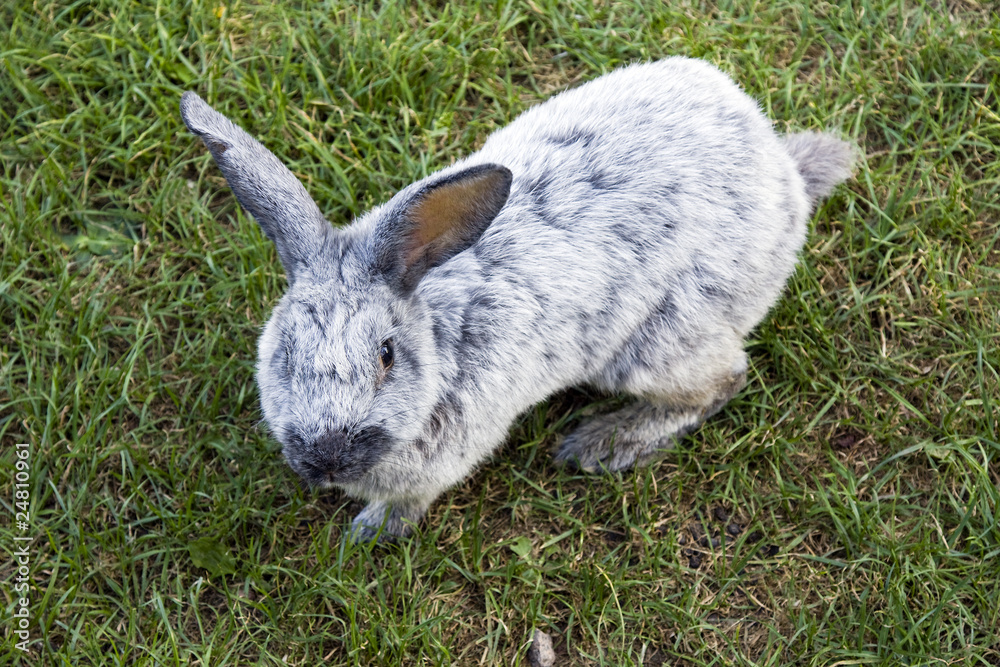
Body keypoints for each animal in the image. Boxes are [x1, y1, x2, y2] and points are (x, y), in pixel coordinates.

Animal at [180, 57, 852, 544]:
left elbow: (410, 500)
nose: (326, 460)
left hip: (659, 341)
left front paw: (367, 534)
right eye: (284, 353)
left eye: (387, 356)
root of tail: (786, 180)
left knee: (723, 380)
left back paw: (600, 444)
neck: (439, 335)